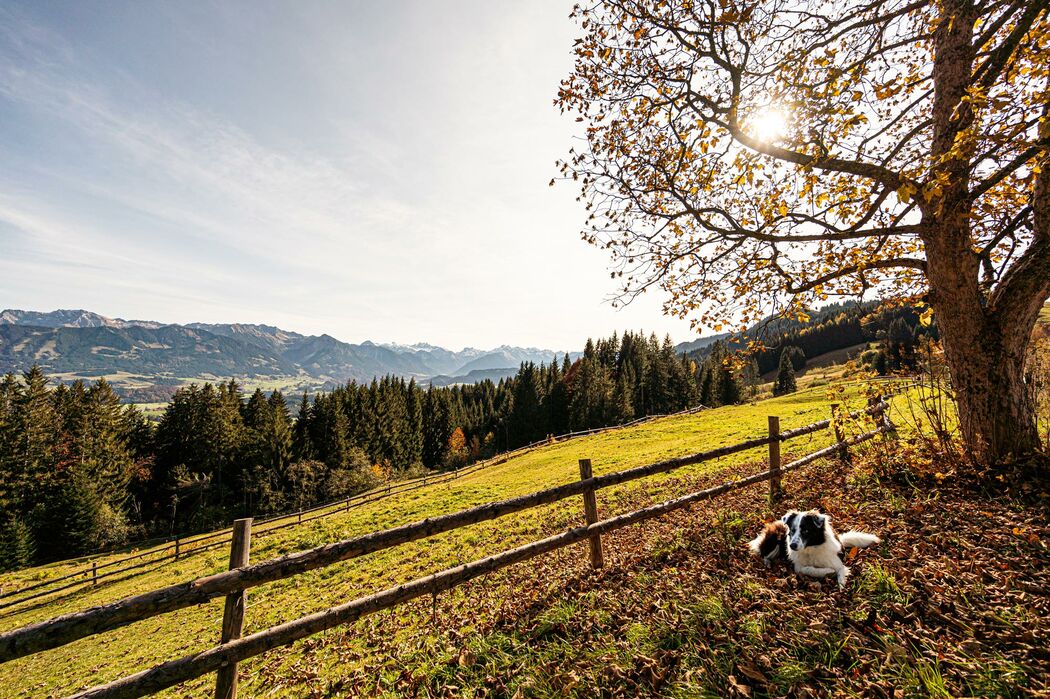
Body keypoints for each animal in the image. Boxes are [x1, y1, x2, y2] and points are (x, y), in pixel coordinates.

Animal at [751, 505, 881, 583]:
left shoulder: (836, 561)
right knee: (764, 553)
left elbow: (840, 571)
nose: (792, 546)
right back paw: (768, 563)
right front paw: (827, 571)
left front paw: (841, 584)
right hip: (775, 540)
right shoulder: (798, 566)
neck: (811, 548)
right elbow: (809, 569)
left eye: (806, 530)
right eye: (792, 530)